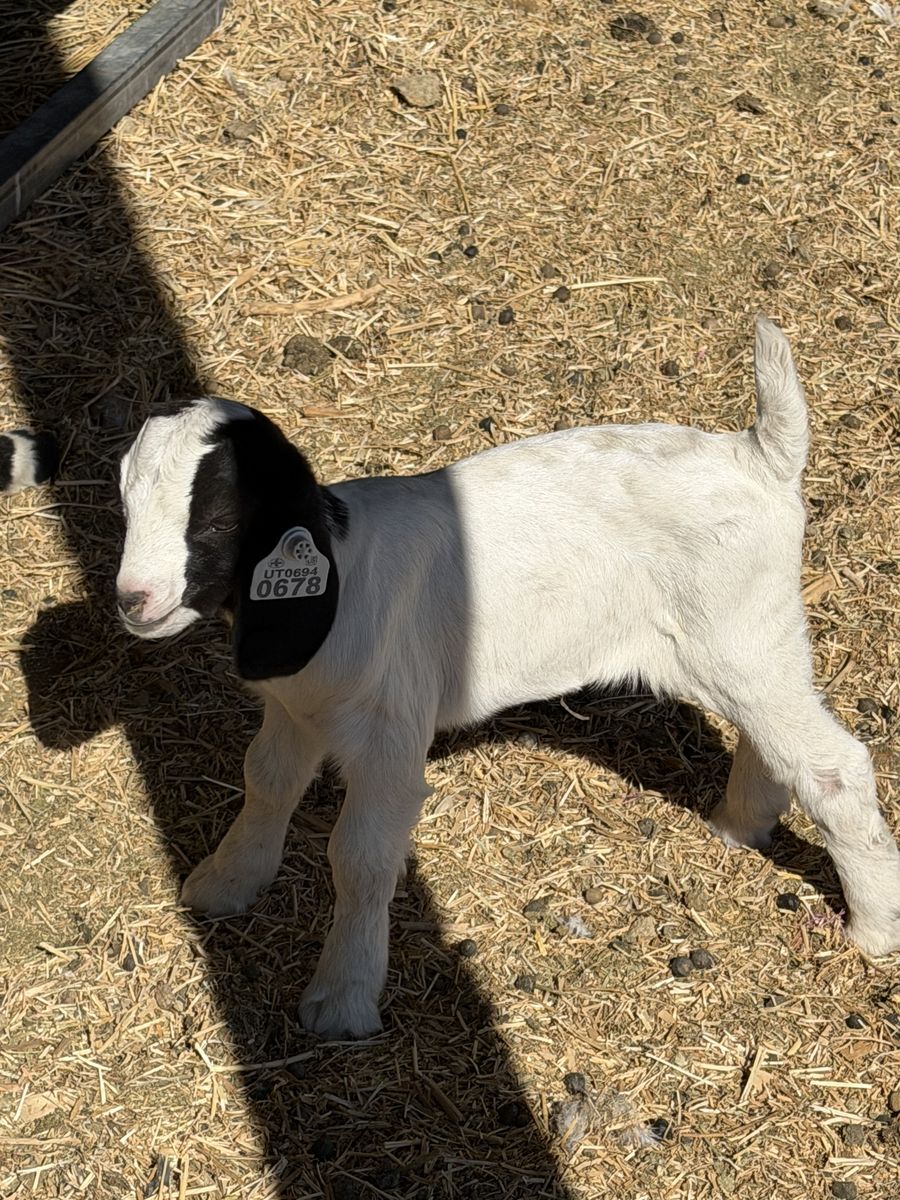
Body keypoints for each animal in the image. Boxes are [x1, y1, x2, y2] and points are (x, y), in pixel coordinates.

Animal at [116, 317, 900, 1039]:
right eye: (125, 503)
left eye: (217, 518)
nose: (132, 600)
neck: (339, 571)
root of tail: (759, 455)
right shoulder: (294, 710)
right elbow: (266, 782)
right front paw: (224, 884)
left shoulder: (390, 733)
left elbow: (361, 856)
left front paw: (341, 1001)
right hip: (740, 642)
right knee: (776, 736)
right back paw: (740, 825)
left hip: (741, 631)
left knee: (833, 765)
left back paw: (874, 927)